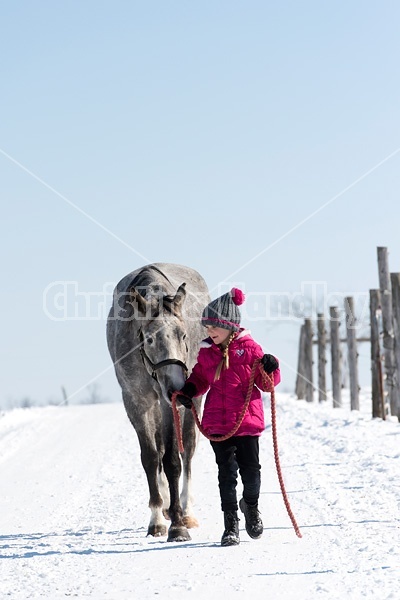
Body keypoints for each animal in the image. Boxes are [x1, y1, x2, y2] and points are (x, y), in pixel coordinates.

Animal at [108, 262, 211, 540]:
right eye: (150, 338)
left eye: (184, 335)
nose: (177, 387)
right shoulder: (137, 401)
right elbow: (151, 457)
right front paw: (157, 518)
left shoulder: (169, 403)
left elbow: (173, 460)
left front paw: (177, 525)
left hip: (192, 402)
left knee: (188, 450)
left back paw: (187, 512)